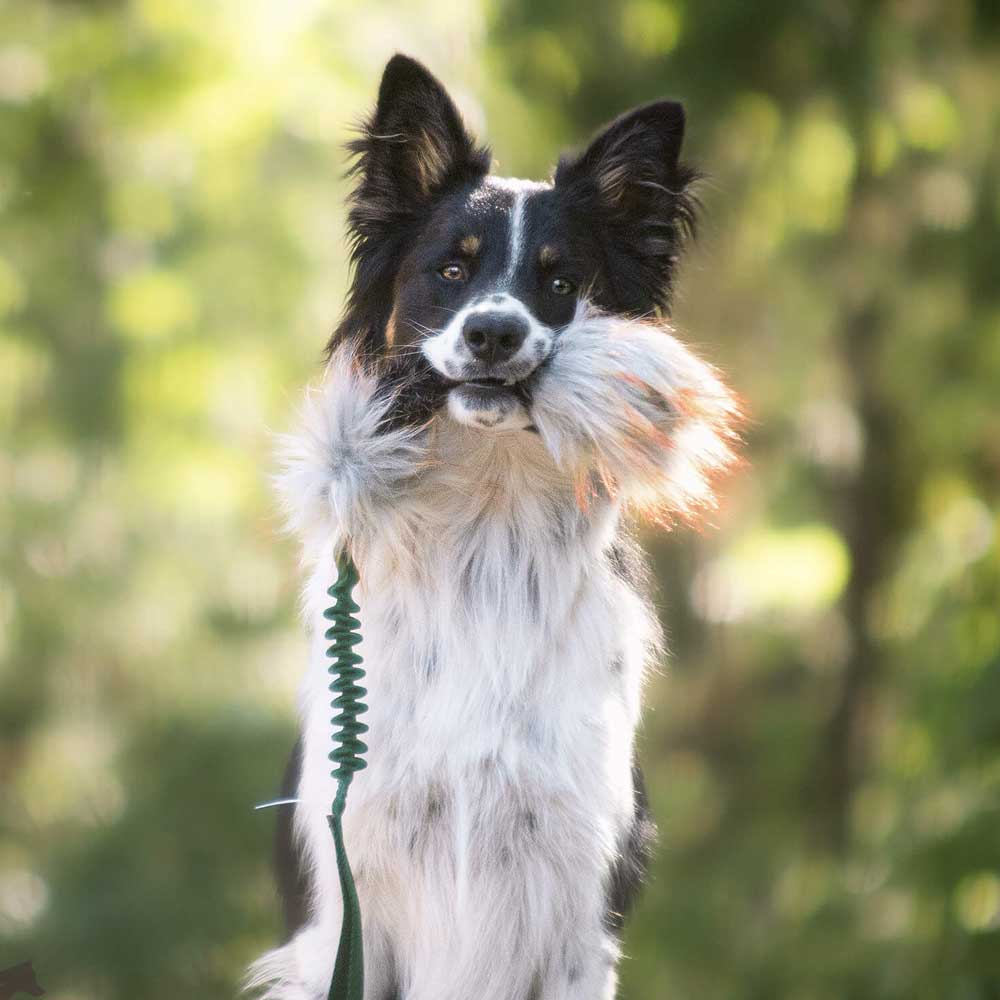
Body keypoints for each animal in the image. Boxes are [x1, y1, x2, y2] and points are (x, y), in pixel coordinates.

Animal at [246, 52, 740, 1000]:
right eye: (451, 271)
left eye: (561, 282)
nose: (494, 333)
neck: (489, 515)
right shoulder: (345, 906)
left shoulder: (575, 908)